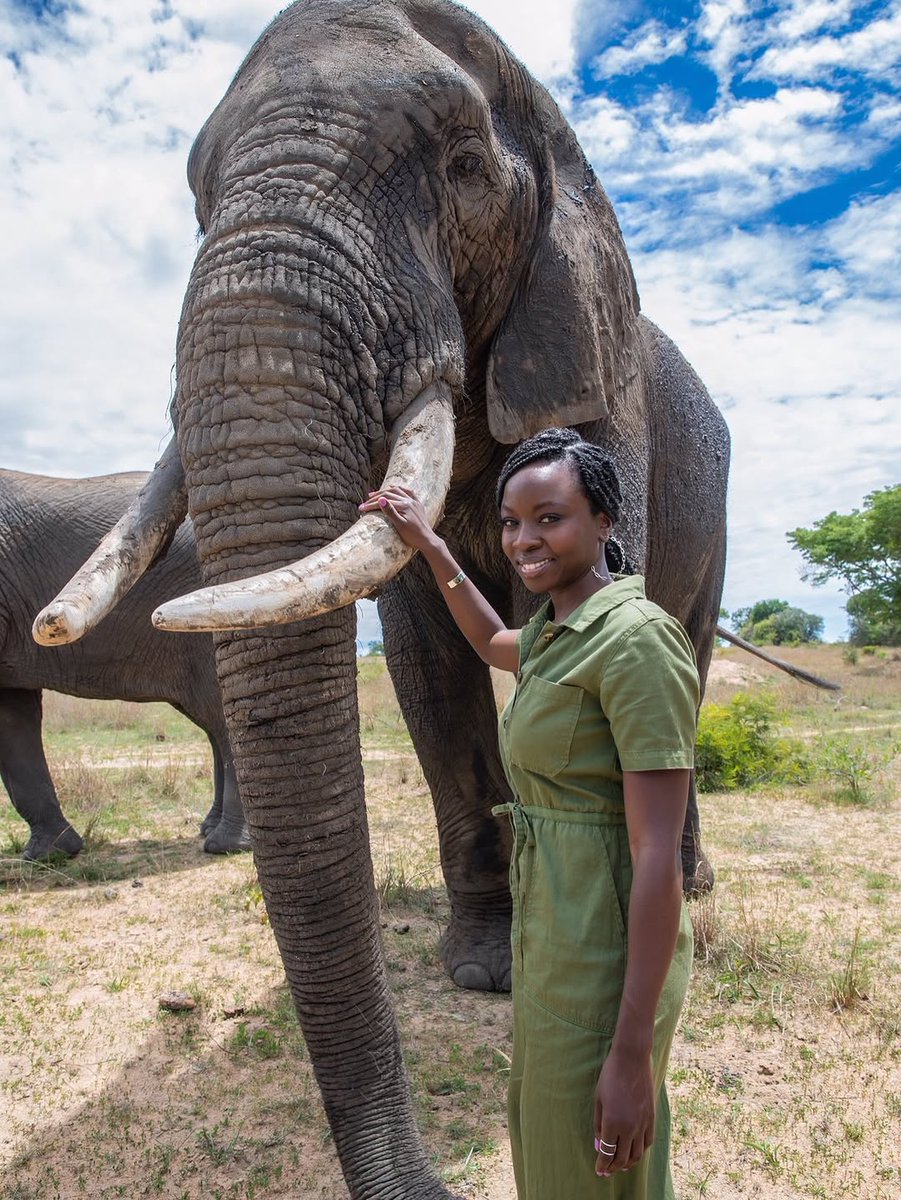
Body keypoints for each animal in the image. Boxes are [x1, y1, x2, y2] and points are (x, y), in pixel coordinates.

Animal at [0, 468, 247, 858]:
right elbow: (13, 715)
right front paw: (52, 854)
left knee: (220, 719)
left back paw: (225, 845)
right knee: (212, 723)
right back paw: (209, 830)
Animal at [33, 1, 729, 1194]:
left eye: (460, 167)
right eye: (194, 196)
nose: (434, 1180)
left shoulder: (606, 386)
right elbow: (428, 659)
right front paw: (485, 969)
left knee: (686, 652)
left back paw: (689, 894)